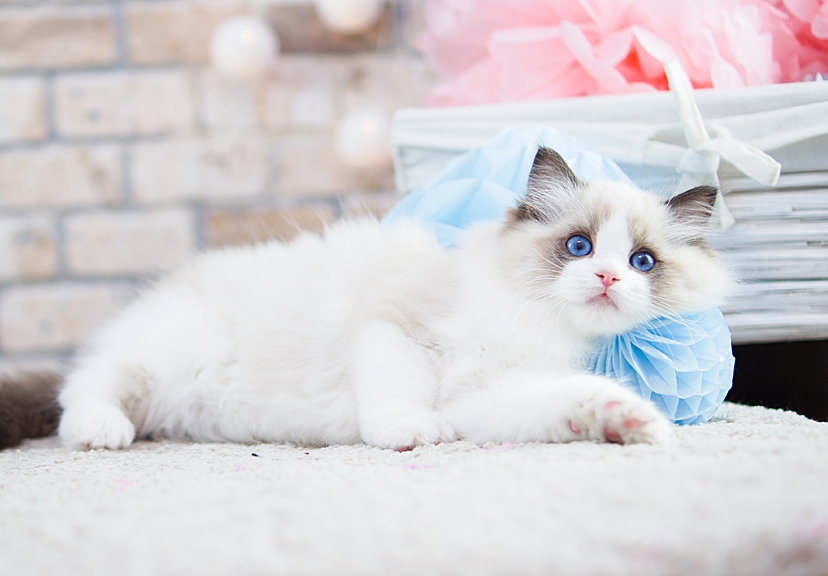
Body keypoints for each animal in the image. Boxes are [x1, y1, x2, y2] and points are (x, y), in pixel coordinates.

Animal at [54, 147, 731, 451]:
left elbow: (566, 399)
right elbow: (398, 392)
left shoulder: (489, 398)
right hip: (165, 360)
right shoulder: (395, 328)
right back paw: (103, 432)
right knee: (84, 386)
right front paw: (410, 433)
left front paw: (630, 422)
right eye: (579, 247)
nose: (609, 279)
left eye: (642, 262)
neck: (536, 325)